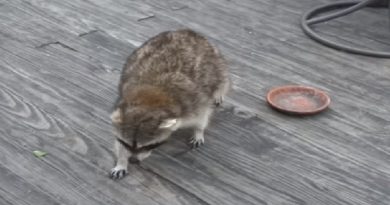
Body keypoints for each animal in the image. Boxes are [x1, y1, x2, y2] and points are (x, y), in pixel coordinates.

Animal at [109, 29, 229, 179]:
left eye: (148, 146)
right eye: (126, 143)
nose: (133, 161)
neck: (150, 101)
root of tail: (187, 31)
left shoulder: (194, 103)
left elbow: (202, 118)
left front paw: (198, 131)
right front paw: (121, 160)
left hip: (216, 63)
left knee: (222, 80)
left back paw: (219, 92)